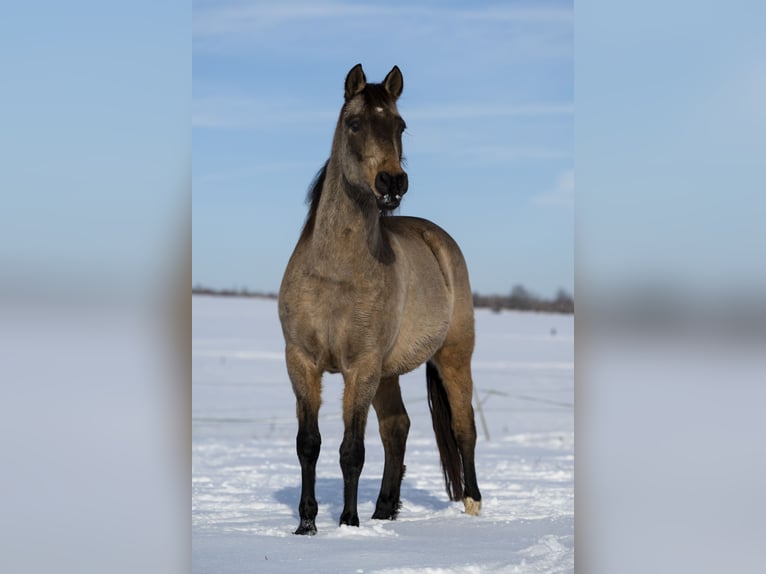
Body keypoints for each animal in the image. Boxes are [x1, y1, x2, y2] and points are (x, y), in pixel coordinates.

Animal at [280, 65, 484, 536]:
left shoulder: (361, 367)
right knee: (397, 427)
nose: (392, 182)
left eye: (400, 125)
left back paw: (472, 503)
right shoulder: (301, 361)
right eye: (355, 123)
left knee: (463, 427)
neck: (335, 272)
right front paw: (306, 524)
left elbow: (351, 450)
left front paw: (349, 524)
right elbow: (308, 444)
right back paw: (385, 508)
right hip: (388, 373)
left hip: (452, 357)